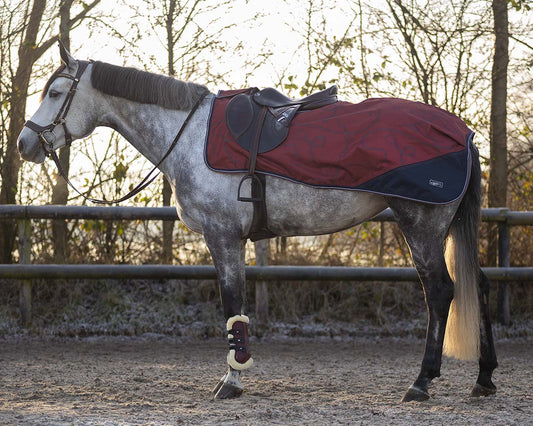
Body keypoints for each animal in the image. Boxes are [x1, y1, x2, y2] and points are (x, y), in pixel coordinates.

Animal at [18, 45, 496, 402]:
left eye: (56, 92)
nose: (24, 144)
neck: (187, 135)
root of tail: (465, 134)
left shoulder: (224, 237)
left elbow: (233, 307)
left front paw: (231, 381)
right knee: (477, 285)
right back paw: (484, 380)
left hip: (422, 227)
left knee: (440, 293)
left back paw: (421, 383)